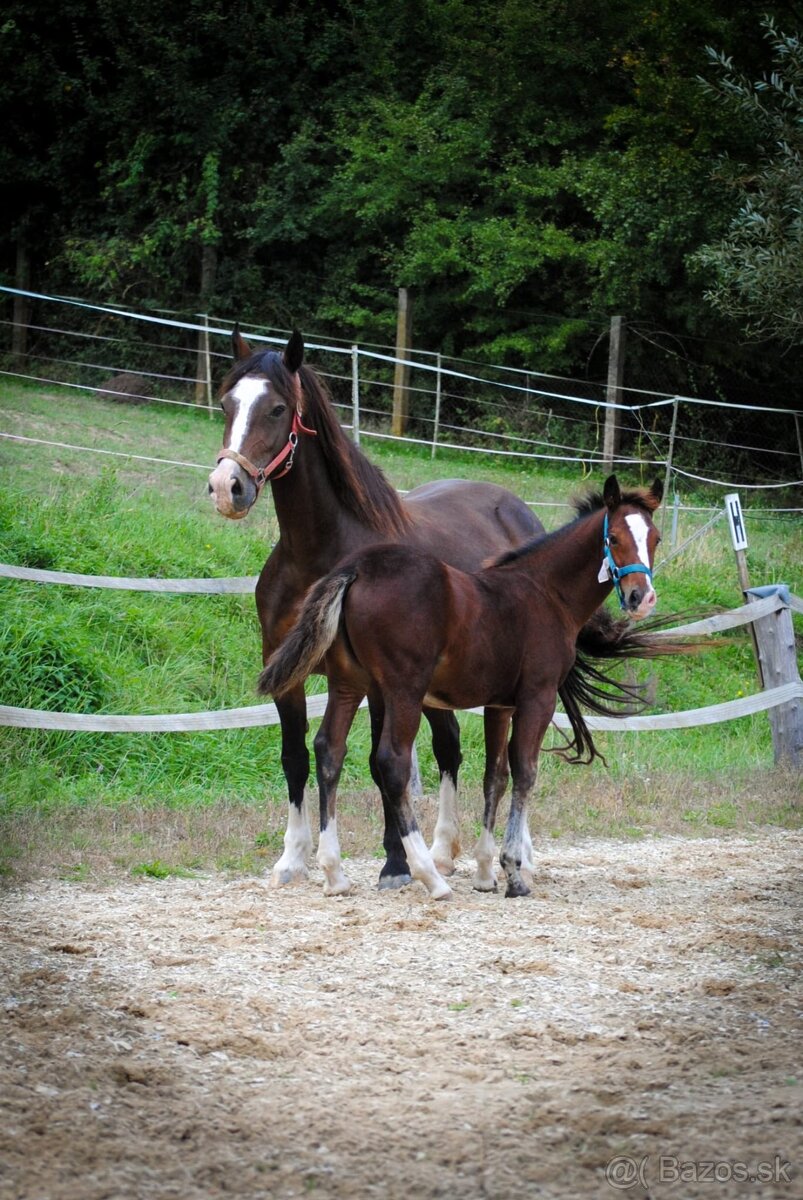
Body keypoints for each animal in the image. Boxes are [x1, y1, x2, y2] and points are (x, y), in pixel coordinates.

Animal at [206, 333, 544, 888]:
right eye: (227, 404)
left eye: (277, 409)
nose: (226, 487)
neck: (320, 554)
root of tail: (516, 509)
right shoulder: (289, 675)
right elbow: (296, 758)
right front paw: (293, 858)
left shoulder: (378, 683)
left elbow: (378, 760)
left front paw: (394, 863)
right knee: (450, 747)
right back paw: (443, 851)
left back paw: (515, 856)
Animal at [260, 477, 686, 902]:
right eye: (613, 537)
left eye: (655, 539)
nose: (641, 597)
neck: (544, 592)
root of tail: (357, 568)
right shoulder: (537, 698)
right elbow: (525, 772)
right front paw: (514, 872)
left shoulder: (499, 705)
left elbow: (494, 776)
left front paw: (485, 872)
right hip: (403, 691)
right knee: (392, 763)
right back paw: (429, 876)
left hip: (349, 683)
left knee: (329, 751)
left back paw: (335, 873)